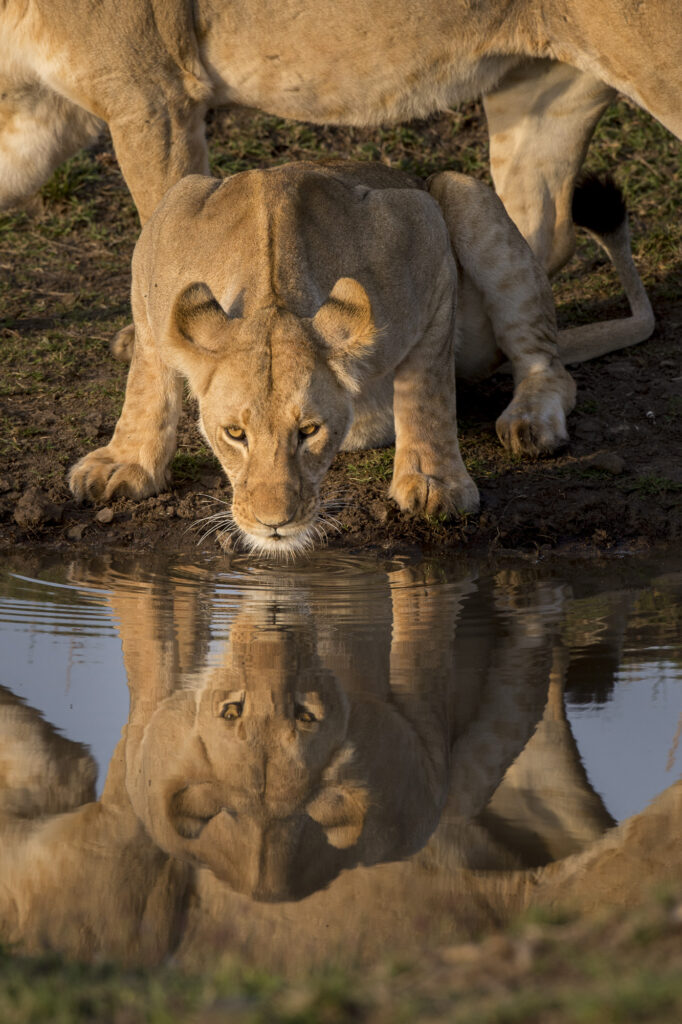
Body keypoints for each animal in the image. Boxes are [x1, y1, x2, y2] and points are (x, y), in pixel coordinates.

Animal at [69, 160, 586, 556]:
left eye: (309, 431)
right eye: (235, 434)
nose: (274, 524)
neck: (270, 286)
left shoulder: (422, 232)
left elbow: (428, 391)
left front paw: (433, 481)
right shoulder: (161, 239)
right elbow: (147, 378)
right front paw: (124, 461)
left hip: (462, 193)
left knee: (546, 362)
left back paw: (530, 421)